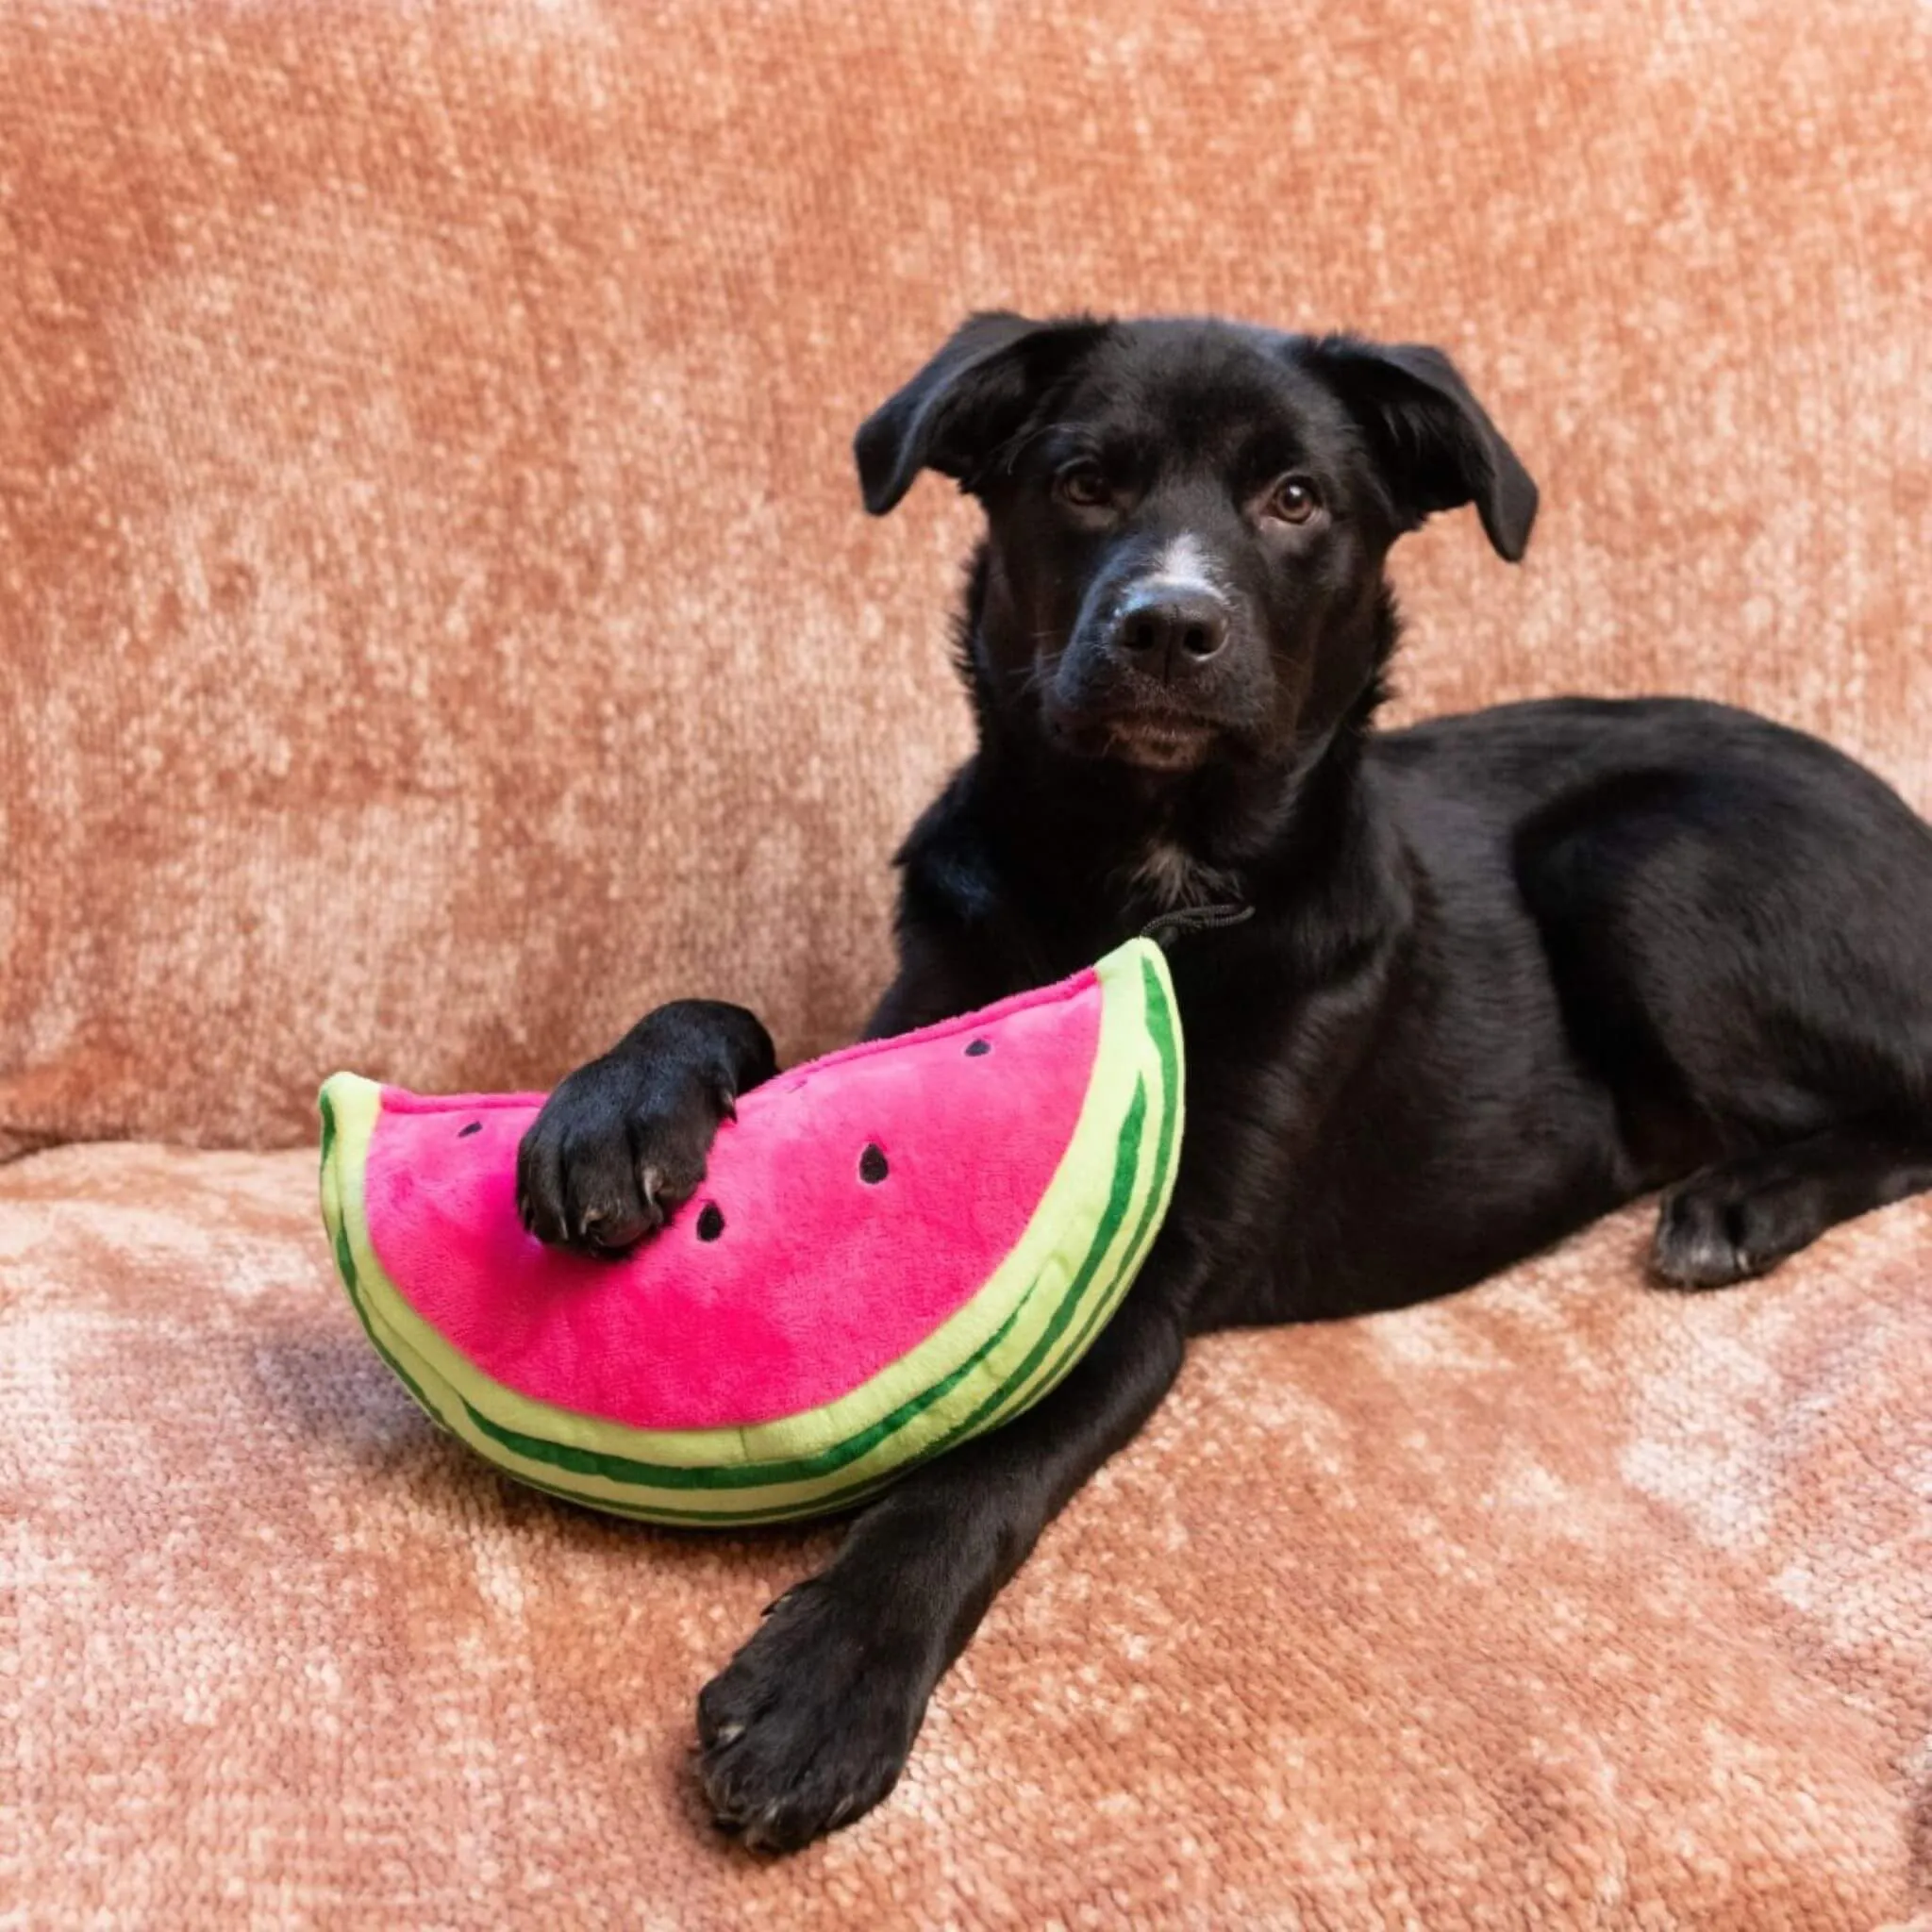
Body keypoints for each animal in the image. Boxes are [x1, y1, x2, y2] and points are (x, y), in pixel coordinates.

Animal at [513, 308, 1932, 1846]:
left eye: (1295, 499)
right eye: (1082, 482)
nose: (1167, 626)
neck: (1140, 879)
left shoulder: (1140, 1268)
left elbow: (974, 1475)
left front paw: (828, 1674)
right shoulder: (914, 1029)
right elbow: (727, 1013)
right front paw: (610, 1112)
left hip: (1639, 857)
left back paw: (1741, 1206)